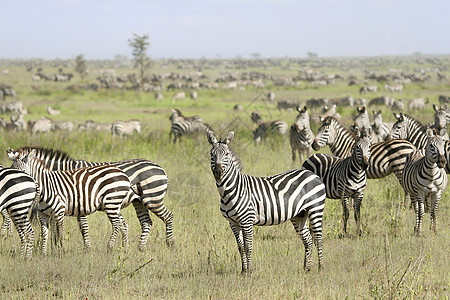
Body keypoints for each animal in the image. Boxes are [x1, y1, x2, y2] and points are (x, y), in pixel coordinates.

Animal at [8, 146, 174, 250]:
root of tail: (159, 167)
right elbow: (55, 228)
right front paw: (55, 247)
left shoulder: (79, 201)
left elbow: (83, 228)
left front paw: (86, 248)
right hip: (139, 202)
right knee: (146, 222)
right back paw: (141, 247)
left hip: (152, 198)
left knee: (168, 216)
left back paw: (170, 243)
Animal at [207, 130, 326, 274]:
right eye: (212, 154)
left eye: (226, 154)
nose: (218, 172)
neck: (229, 191)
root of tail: (312, 173)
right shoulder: (233, 223)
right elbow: (240, 248)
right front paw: (243, 271)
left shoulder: (247, 220)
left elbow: (248, 247)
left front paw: (250, 272)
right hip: (299, 215)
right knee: (308, 239)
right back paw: (306, 268)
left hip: (315, 209)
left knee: (318, 238)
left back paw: (320, 268)